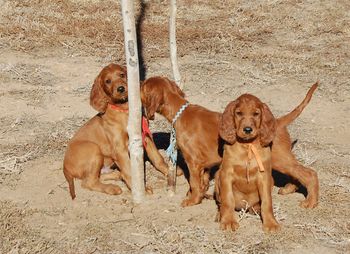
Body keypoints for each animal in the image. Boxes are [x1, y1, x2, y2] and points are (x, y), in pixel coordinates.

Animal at [63, 63, 169, 198]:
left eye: (122, 75)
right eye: (107, 81)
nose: (121, 89)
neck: (125, 110)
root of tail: (64, 166)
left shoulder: (145, 136)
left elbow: (157, 158)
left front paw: (170, 171)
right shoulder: (119, 149)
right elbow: (129, 170)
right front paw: (142, 190)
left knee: (98, 176)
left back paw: (117, 175)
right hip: (93, 149)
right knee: (88, 182)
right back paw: (112, 188)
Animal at [215, 95, 280, 232]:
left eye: (256, 114)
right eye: (239, 113)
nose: (248, 129)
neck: (247, 145)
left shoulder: (265, 176)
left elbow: (267, 201)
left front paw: (271, 223)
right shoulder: (226, 174)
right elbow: (227, 199)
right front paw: (228, 221)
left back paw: (256, 209)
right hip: (218, 175)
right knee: (221, 202)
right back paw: (220, 215)